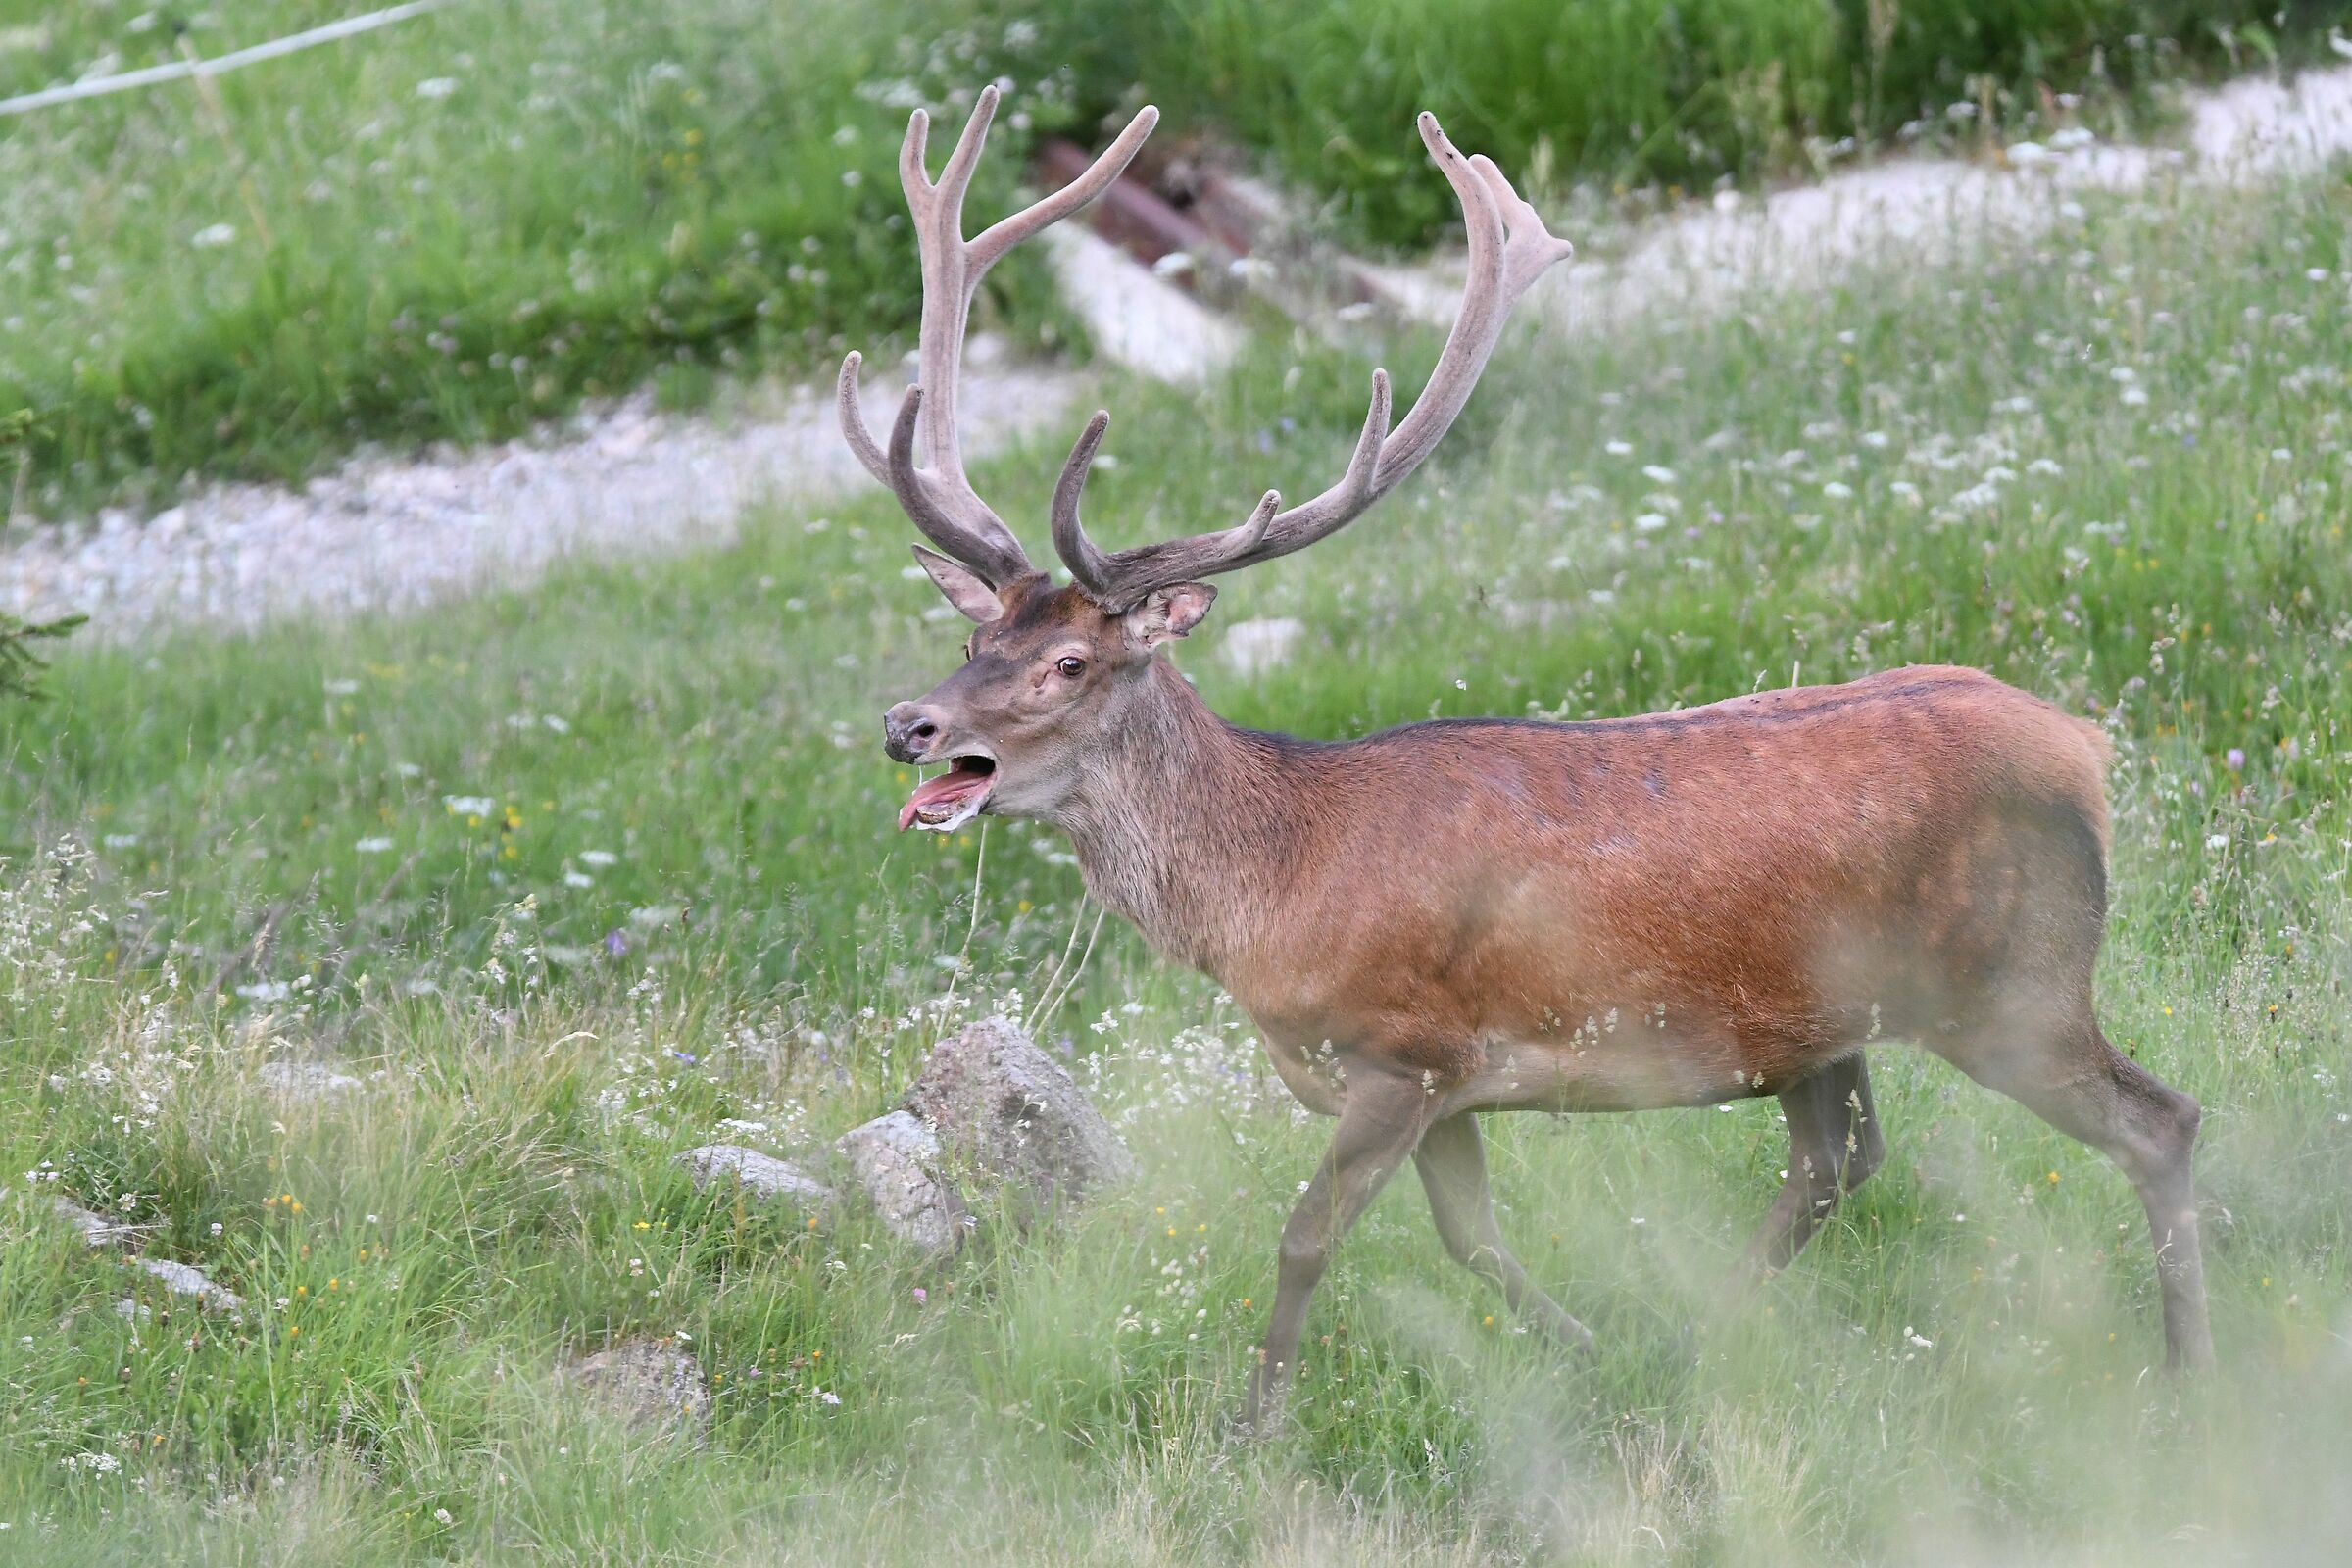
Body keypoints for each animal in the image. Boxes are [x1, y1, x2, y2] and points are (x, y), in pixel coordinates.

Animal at [839, 86, 2215, 1430]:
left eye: (1071, 663)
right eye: (974, 635)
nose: (911, 724)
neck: (1273, 885)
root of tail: (2085, 750)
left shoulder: (1402, 1049)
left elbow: (1305, 1236)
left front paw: (1253, 1428)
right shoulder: (1448, 1085)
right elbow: (1473, 1241)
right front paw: (1590, 1352)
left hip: (2014, 982)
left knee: (2160, 1119)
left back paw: (2185, 1376)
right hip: (1824, 1017)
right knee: (1839, 1157)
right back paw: (1705, 1339)